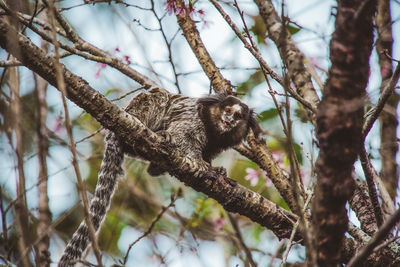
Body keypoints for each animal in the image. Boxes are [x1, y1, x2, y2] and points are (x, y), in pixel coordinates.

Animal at [57, 89, 260, 266]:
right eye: (228, 111)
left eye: (238, 116)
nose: (229, 120)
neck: (214, 129)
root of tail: (112, 136)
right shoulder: (193, 120)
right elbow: (183, 136)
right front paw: (199, 163)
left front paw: (216, 169)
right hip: (137, 113)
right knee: (159, 98)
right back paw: (158, 134)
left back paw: (156, 167)